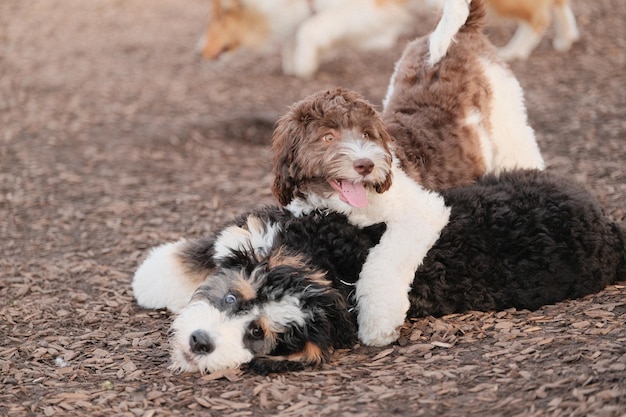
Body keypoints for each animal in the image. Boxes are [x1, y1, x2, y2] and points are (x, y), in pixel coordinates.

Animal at [133, 169, 624, 374]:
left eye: (258, 334)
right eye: (232, 298)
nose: (200, 342)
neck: (324, 266)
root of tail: (609, 230)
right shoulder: (261, 231)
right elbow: (204, 253)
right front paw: (151, 277)